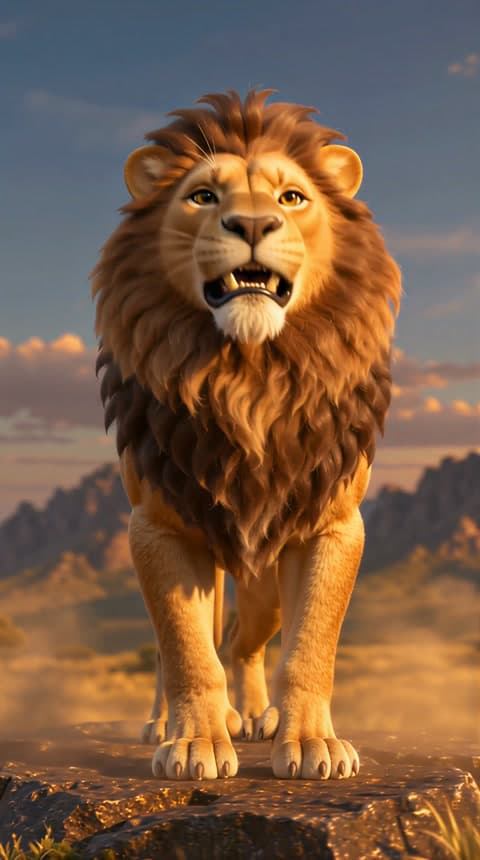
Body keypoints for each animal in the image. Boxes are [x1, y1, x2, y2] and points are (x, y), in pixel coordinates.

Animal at [92, 89, 401, 781]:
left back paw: (260, 716)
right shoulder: (158, 527)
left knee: (243, 642)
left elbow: (311, 647)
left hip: (263, 587)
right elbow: (185, 650)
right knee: (189, 645)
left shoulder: (333, 524)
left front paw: (311, 742)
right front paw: (195, 743)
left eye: (291, 197)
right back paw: (169, 722)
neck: (251, 372)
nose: (254, 225)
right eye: (203, 196)